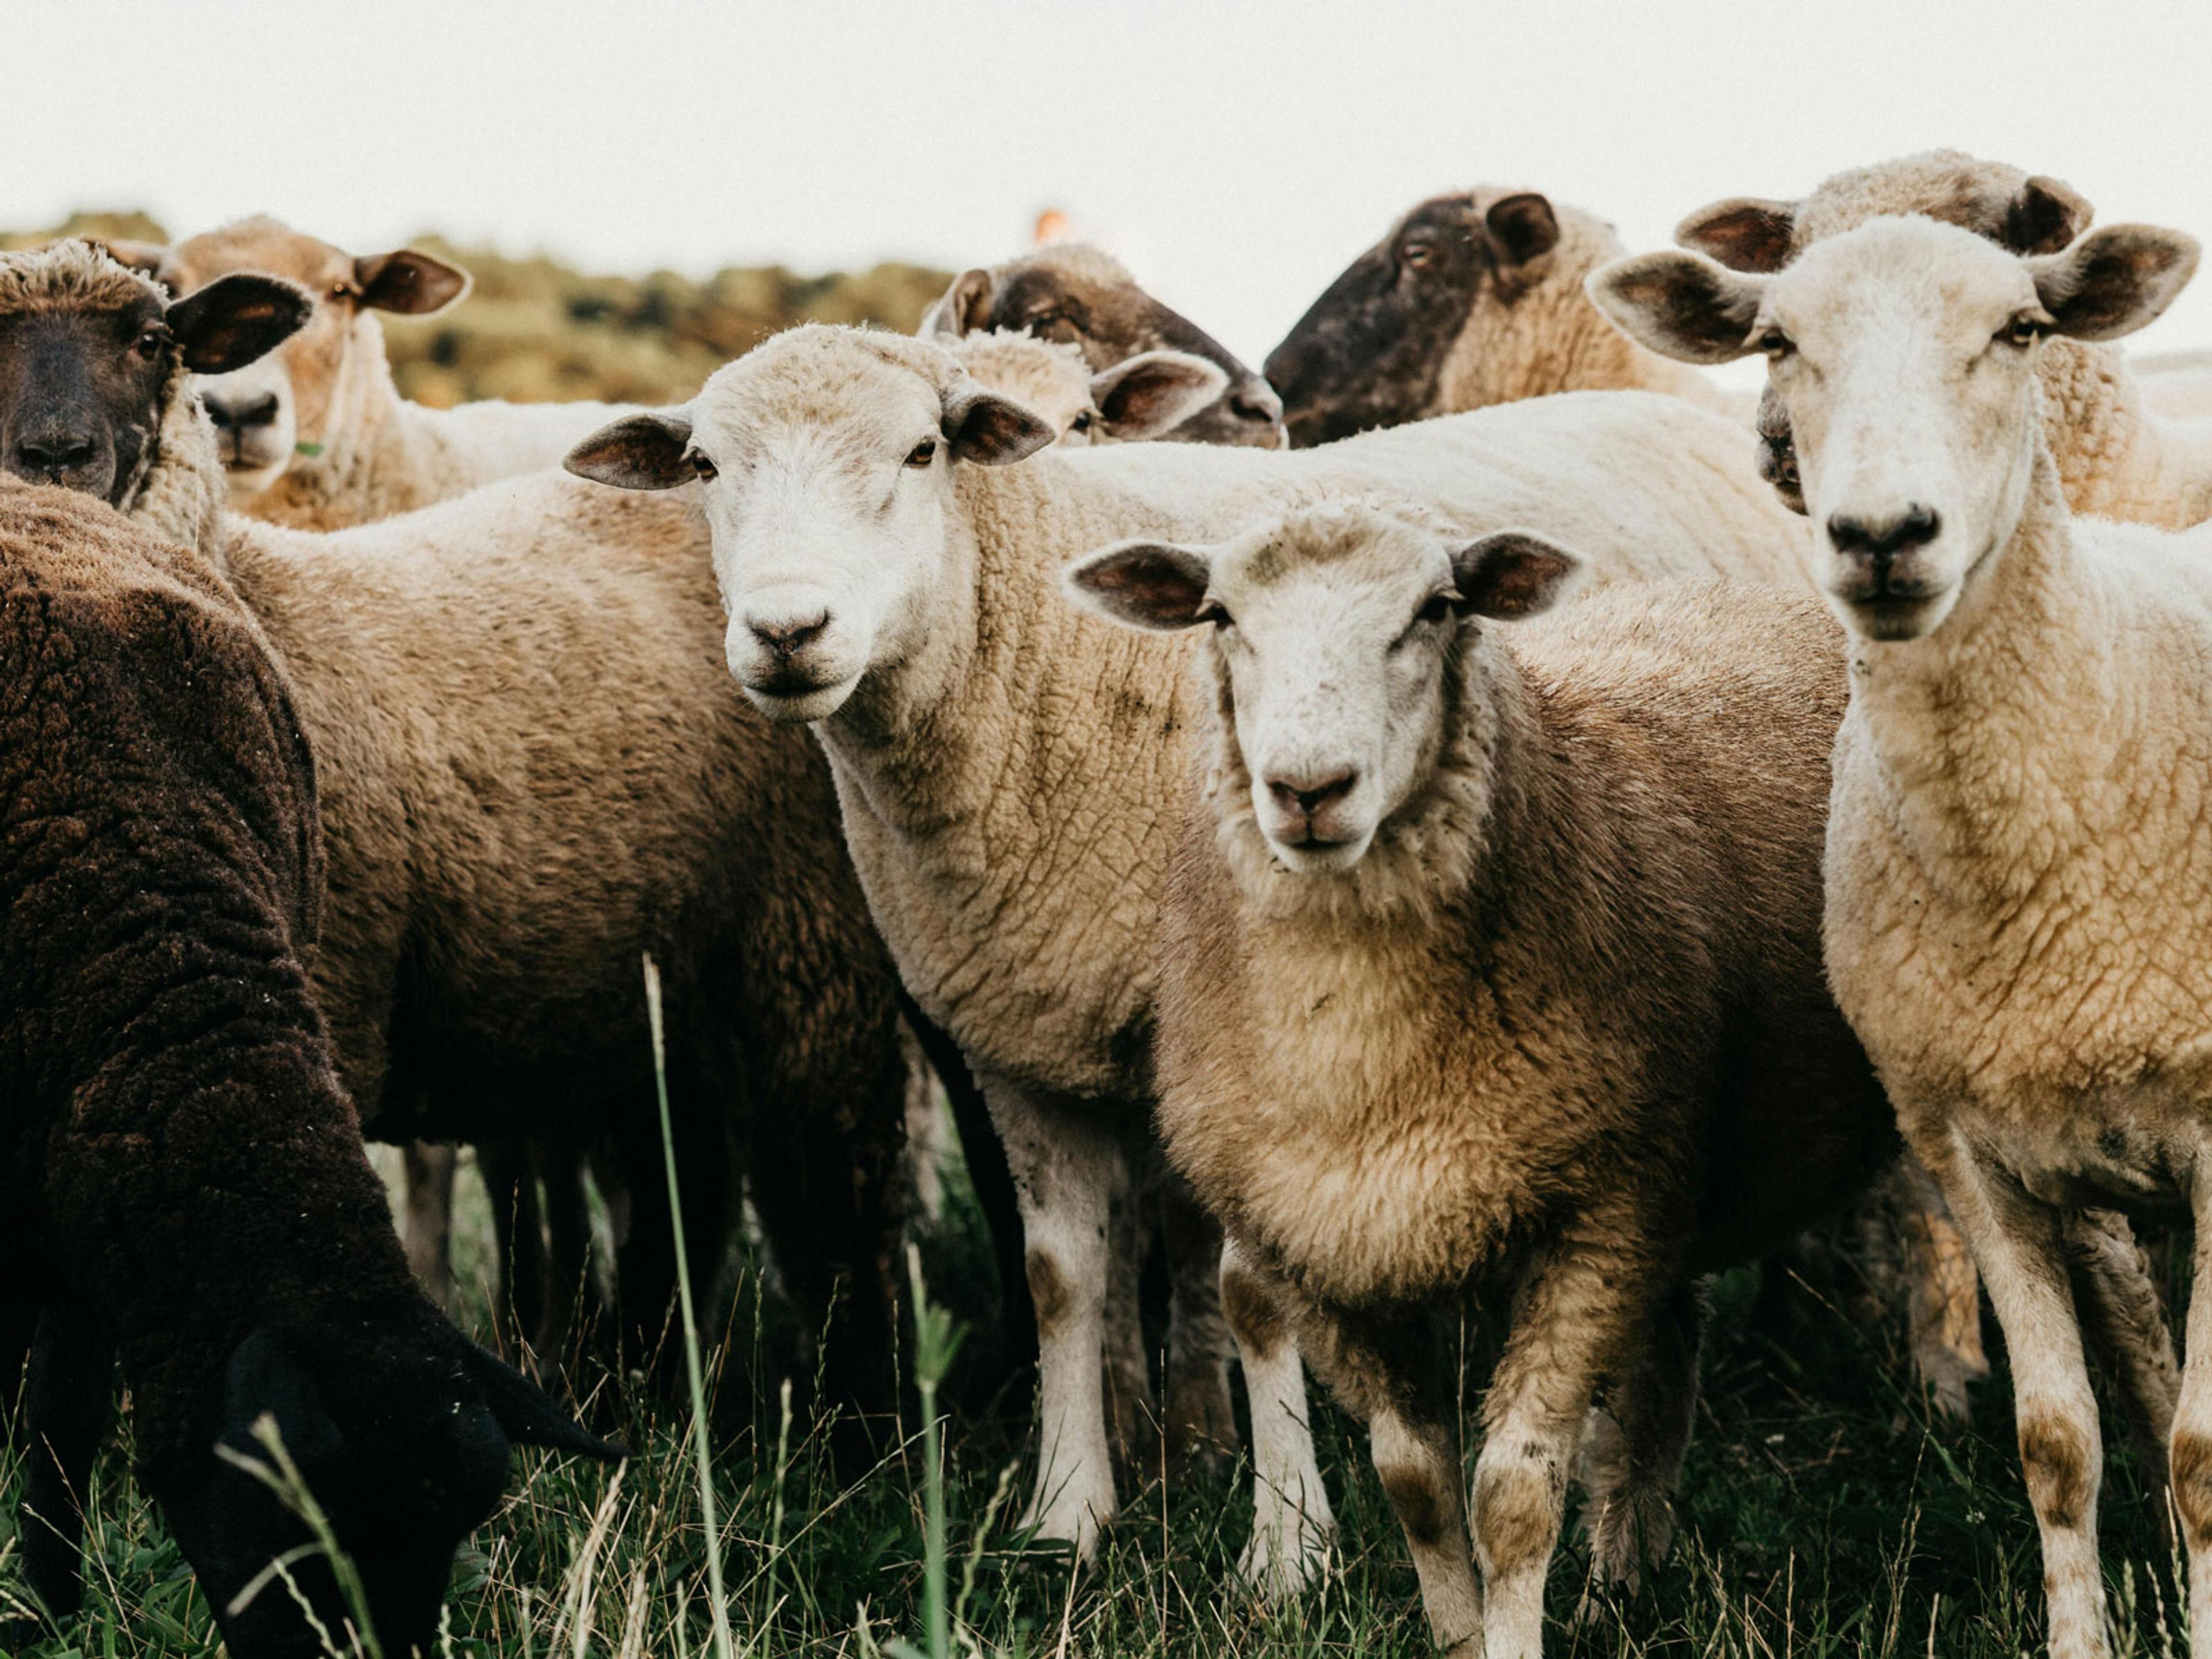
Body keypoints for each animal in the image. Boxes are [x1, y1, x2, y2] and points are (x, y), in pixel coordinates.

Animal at [563, 323, 1815, 1578]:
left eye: (922, 451)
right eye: (707, 468)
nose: (787, 633)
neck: (1035, 656)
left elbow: (1252, 1291)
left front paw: (1289, 1549)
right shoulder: (1019, 1032)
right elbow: (1061, 1277)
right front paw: (1069, 1515)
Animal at [1063, 499, 1897, 1657]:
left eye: (1437, 609)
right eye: (1219, 615)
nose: (1307, 790)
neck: (1364, 1066)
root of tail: (1747, 596)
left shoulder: (1598, 1218)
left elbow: (1513, 1492)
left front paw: (1514, 1631)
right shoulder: (1325, 1251)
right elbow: (1415, 1482)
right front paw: (1460, 1634)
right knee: (1665, 1371)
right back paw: (1622, 1584)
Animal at [1589, 210, 2212, 1659]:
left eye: (2020, 330)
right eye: (1775, 341)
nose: (1882, 534)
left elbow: (2206, 1456)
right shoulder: (1972, 1148)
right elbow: (2056, 1447)